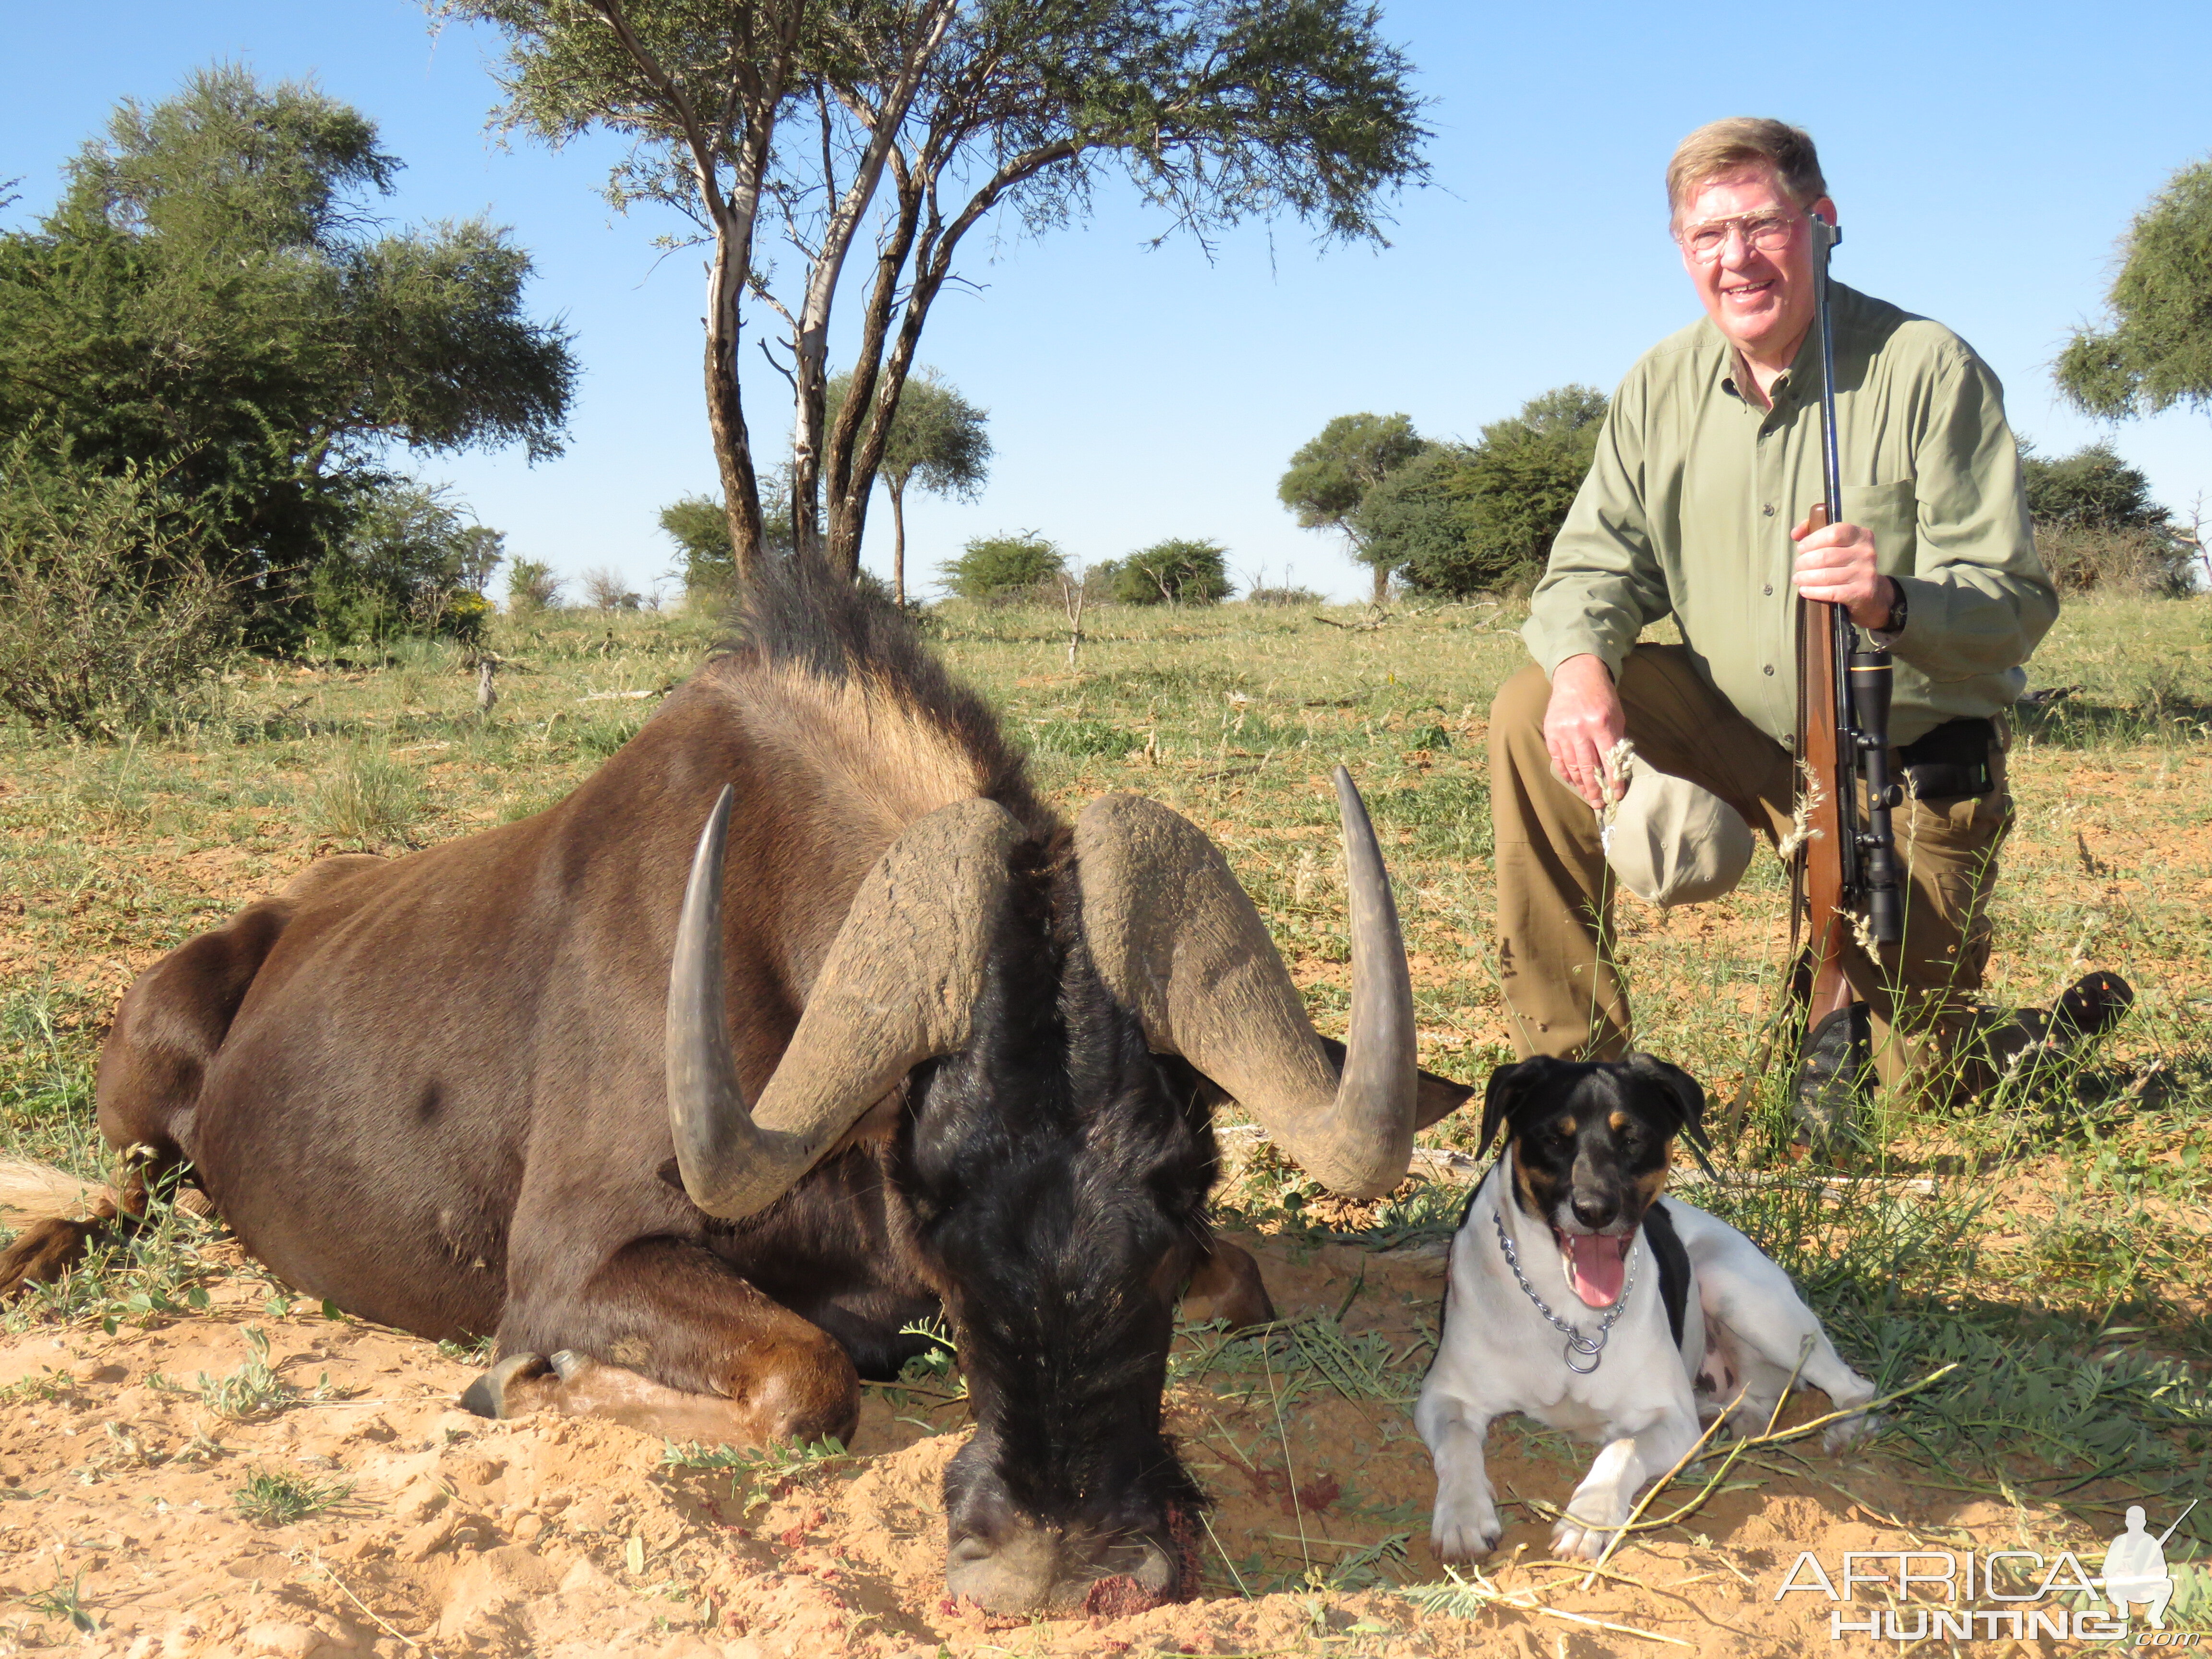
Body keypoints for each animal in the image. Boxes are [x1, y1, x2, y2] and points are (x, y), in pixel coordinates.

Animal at [1416, 1057, 1885, 1566]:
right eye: (1554, 1139)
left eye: (1633, 1138)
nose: (1595, 1210)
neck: (1567, 1312)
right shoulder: (1443, 1397)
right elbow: (1459, 1441)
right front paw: (1462, 1516)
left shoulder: (1670, 1420)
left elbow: (1621, 1447)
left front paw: (1589, 1520)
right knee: (1753, 1401)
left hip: (1742, 1294)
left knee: (1856, 1385)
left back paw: (1847, 1429)